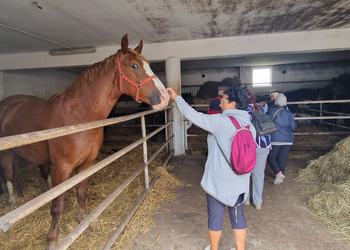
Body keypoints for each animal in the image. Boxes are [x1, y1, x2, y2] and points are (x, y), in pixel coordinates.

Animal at [0, 34, 170, 248]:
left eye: (148, 64)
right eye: (134, 66)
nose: (164, 97)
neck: (79, 117)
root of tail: (8, 104)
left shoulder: (87, 164)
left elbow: (81, 193)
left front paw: (83, 222)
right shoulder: (62, 167)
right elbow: (58, 206)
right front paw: (52, 240)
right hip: (7, 154)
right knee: (9, 176)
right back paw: (12, 203)